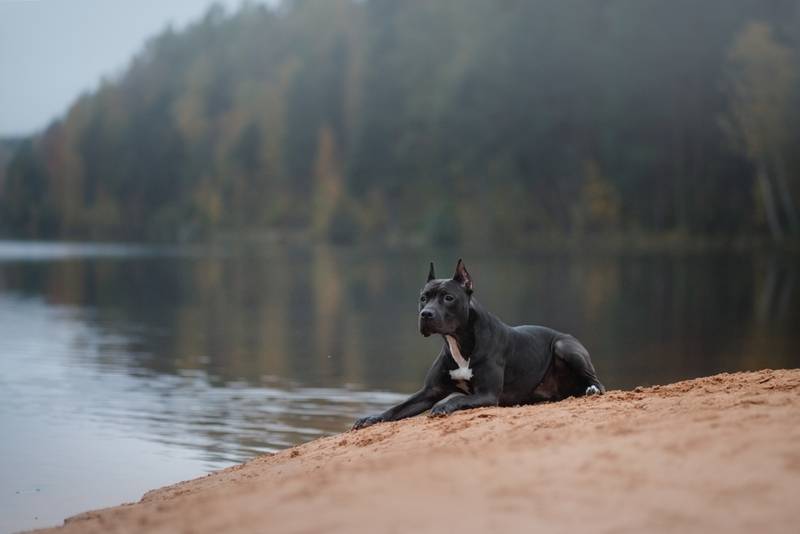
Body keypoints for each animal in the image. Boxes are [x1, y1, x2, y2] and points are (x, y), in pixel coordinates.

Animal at [354, 260, 604, 432]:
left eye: (448, 298)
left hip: (565, 346)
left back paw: (591, 390)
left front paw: (443, 407)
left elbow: (457, 398)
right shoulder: (429, 392)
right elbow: (397, 408)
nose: (426, 314)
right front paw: (371, 418)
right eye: (423, 298)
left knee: (598, 383)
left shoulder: (487, 394)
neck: (459, 342)